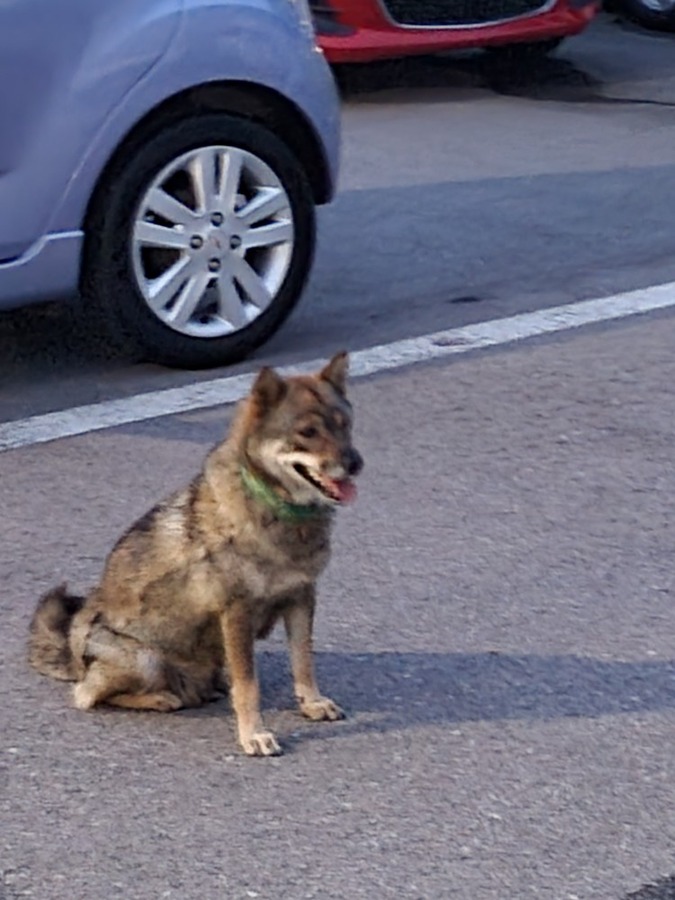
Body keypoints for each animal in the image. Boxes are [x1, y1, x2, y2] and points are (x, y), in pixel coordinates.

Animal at [27, 356, 364, 756]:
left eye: (344, 425)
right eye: (308, 431)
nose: (355, 463)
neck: (272, 507)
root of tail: (73, 653)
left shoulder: (301, 598)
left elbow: (303, 661)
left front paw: (311, 702)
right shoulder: (237, 613)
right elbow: (248, 685)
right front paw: (253, 734)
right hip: (145, 658)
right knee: (87, 695)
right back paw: (160, 698)